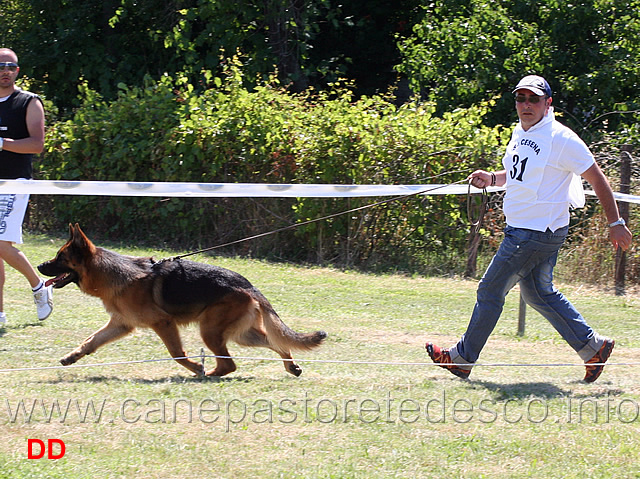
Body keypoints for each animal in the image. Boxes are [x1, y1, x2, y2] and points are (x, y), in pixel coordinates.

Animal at [38, 225, 330, 378]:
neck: (114, 273)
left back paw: (204, 374)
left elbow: (176, 353)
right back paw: (291, 366)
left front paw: (193, 365)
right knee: (276, 343)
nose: (40, 266)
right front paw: (72, 357)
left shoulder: (163, 323)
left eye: (60, 258)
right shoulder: (121, 324)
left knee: (229, 364)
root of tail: (248, 285)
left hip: (210, 330)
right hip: (241, 335)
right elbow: (91, 341)